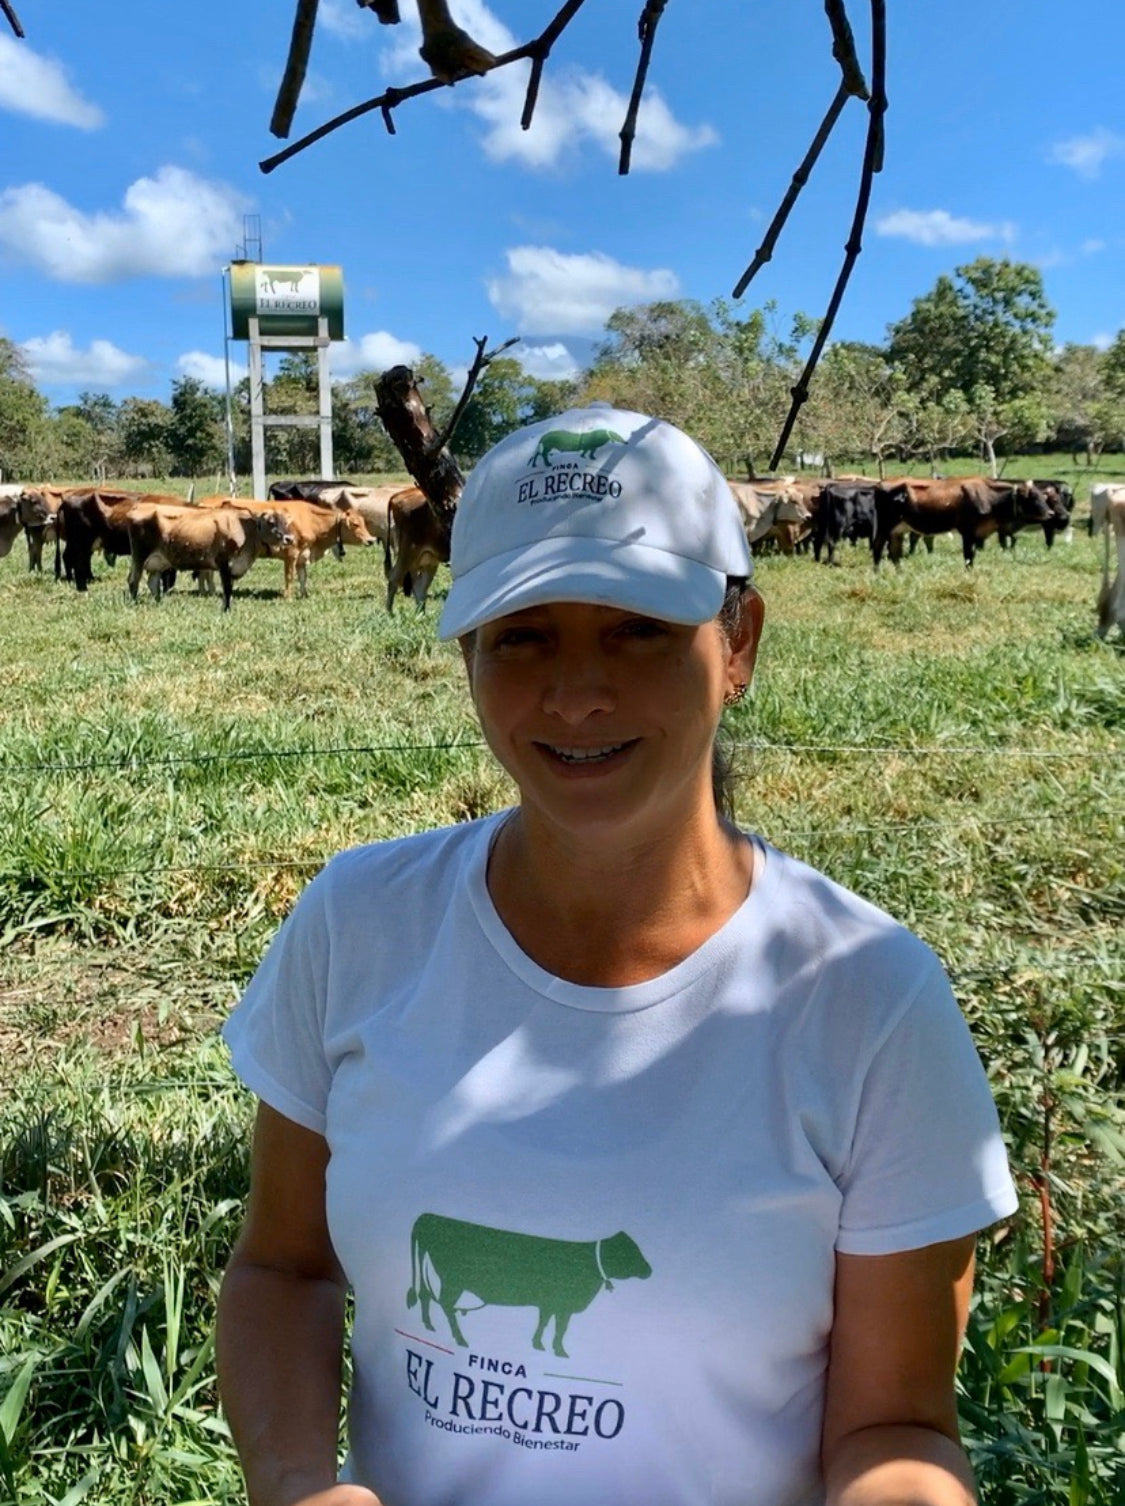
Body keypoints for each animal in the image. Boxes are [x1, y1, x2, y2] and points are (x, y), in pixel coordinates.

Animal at [126, 506, 295, 611]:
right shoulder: (224, 562)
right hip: (139, 556)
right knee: (134, 579)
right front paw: (226, 609)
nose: (289, 538)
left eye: (286, 522)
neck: (244, 530)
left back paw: (159, 602)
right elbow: (227, 588)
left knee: (152, 582)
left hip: (157, 561)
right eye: (271, 522)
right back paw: (134, 602)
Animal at [406, 1216, 650, 1361]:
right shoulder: (564, 1306)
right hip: (452, 1282)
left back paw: (429, 1326)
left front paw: (539, 1344)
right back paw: (460, 1339)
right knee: (446, 1305)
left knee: (425, 1297)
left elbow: (544, 1322)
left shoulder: (549, 1304)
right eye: (629, 1251)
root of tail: (428, 1217)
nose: (649, 1270)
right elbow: (561, 1328)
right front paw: (560, 1351)